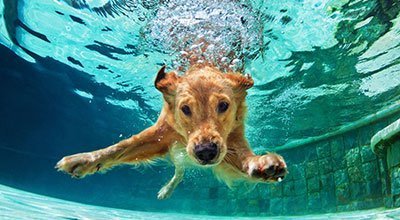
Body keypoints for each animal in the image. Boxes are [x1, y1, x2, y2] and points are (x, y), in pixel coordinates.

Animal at [56, 64, 288, 200]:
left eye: (223, 105)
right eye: (185, 109)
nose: (206, 152)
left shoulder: (231, 142)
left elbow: (245, 158)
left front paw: (263, 164)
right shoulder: (160, 134)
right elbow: (121, 147)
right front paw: (84, 160)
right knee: (179, 170)